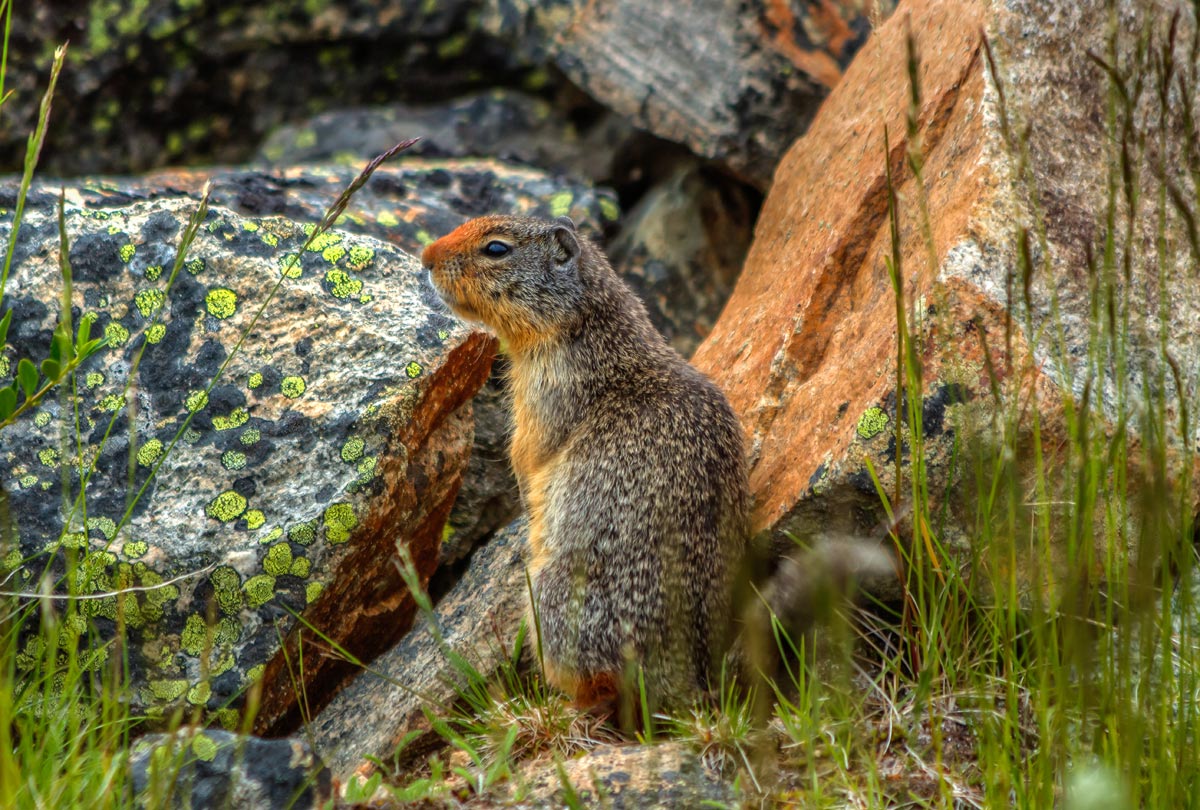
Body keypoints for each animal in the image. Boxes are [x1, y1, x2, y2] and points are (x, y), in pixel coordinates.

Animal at [417, 212, 744, 715]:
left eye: (496, 249)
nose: (426, 256)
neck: (589, 328)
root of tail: (685, 685)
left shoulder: (547, 393)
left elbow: (528, 451)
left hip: (552, 596)